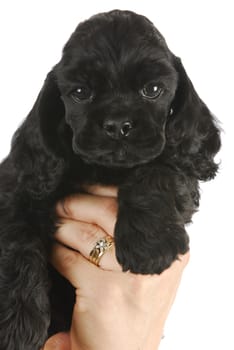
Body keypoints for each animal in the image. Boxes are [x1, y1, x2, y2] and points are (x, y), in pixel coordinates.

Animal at [0, 9, 220, 348]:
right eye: (80, 93)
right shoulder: (21, 186)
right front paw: (18, 326)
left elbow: (159, 169)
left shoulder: (183, 173)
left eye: (152, 90)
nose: (118, 125)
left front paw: (150, 246)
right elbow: (17, 241)